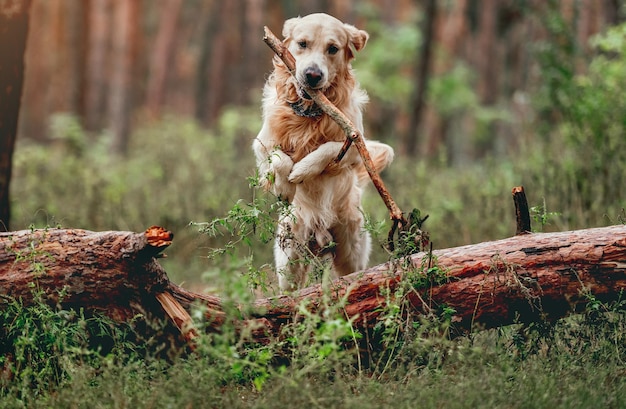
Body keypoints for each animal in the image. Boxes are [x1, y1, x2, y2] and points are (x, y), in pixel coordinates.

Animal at [252, 13, 390, 290]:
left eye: (333, 49)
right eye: (302, 44)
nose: (312, 75)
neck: (309, 113)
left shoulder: (357, 144)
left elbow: (331, 147)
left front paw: (303, 169)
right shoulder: (261, 144)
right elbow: (279, 159)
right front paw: (286, 186)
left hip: (351, 252)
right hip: (289, 259)